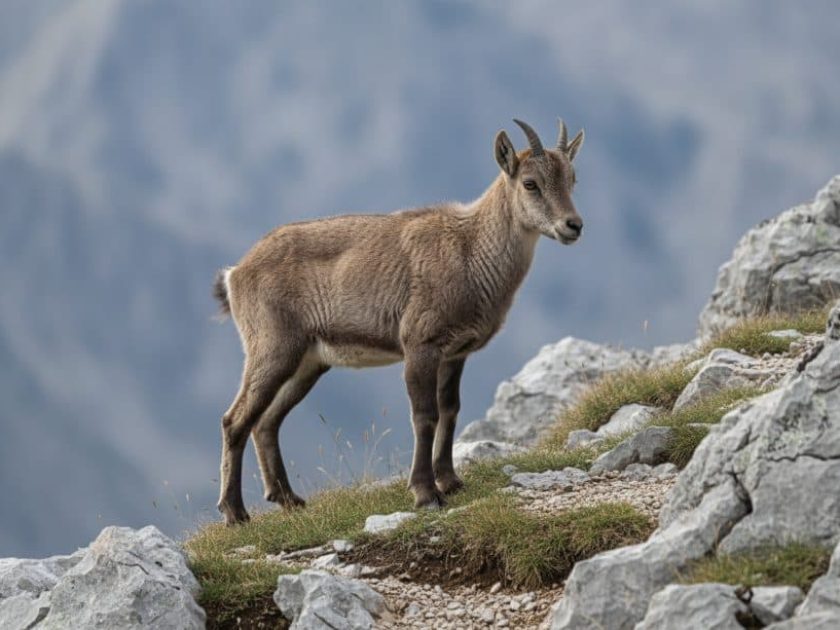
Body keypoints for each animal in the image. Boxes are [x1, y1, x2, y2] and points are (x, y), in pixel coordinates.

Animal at [213, 118, 585, 524]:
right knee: (235, 419)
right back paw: (235, 512)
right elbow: (425, 416)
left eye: (572, 178)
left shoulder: (455, 353)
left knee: (266, 421)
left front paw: (450, 481)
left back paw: (288, 499)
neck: (471, 250)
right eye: (531, 183)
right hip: (273, 348)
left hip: (309, 362)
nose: (573, 225)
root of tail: (235, 273)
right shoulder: (420, 344)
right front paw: (425, 493)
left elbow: (450, 410)